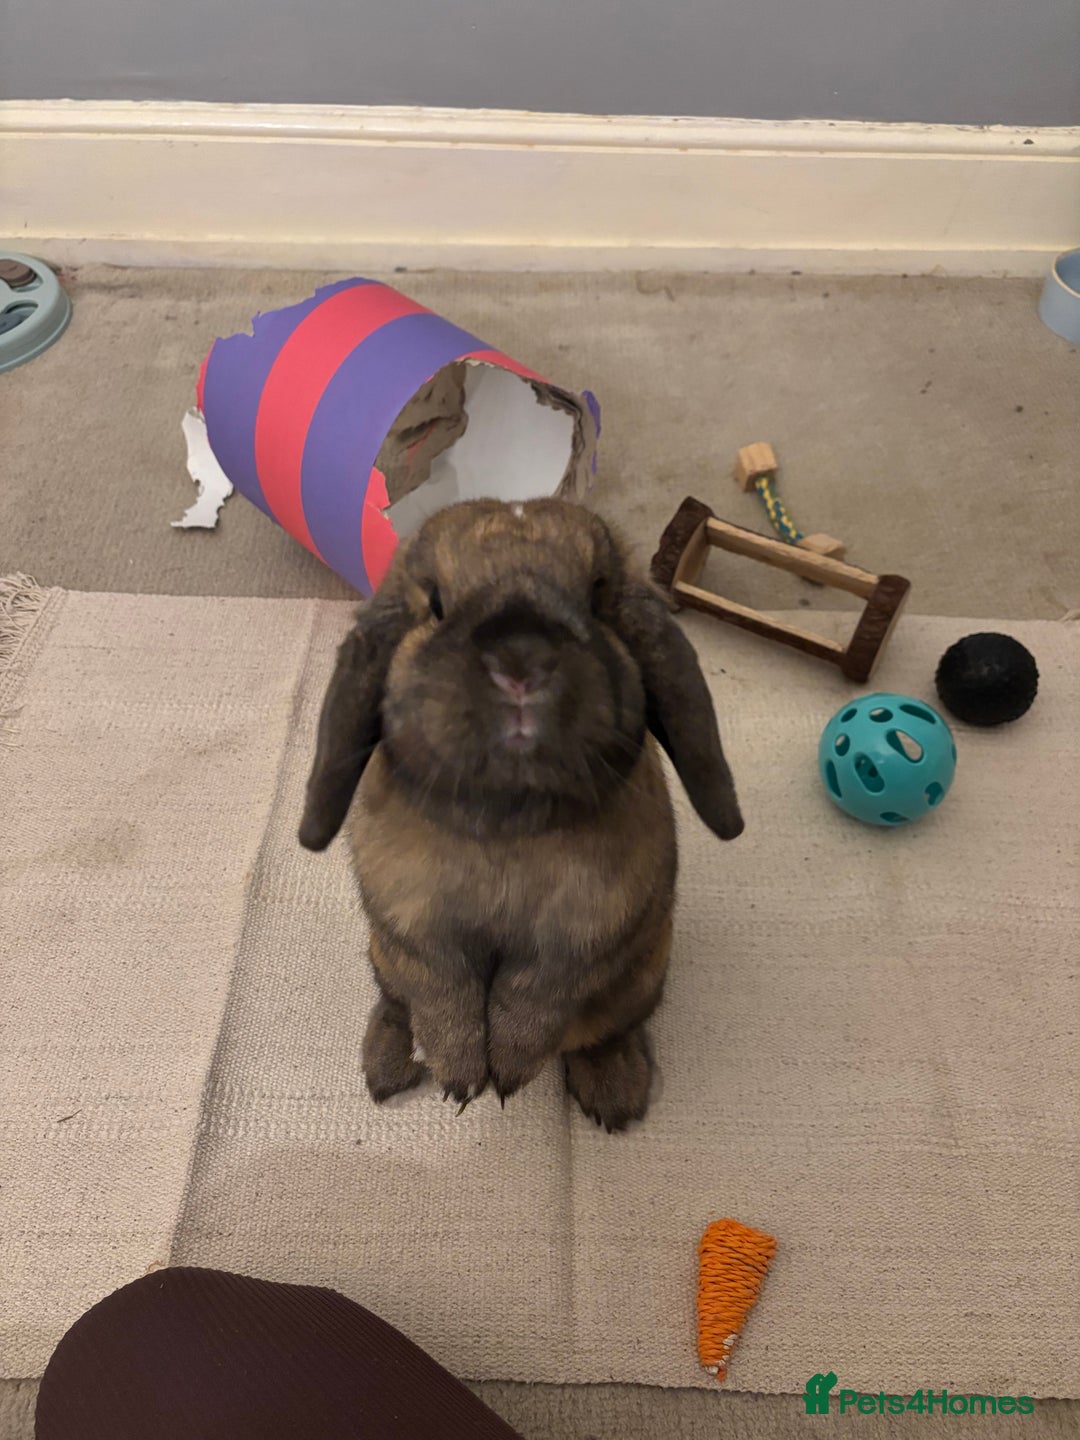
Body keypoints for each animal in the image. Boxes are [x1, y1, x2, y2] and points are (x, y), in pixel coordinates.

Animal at [299, 498, 743, 1131]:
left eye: (597, 596)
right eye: (436, 603)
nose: (520, 657)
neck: (508, 821)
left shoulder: (580, 943)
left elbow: (531, 999)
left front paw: (507, 1072)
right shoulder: (418, 934)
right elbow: (447, 1001)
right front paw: (461, 1078)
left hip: (643, 975)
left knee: (606, 1032)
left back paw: (616, 1095)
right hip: (383, 957)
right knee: (396, 1003)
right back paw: (387, 1069)